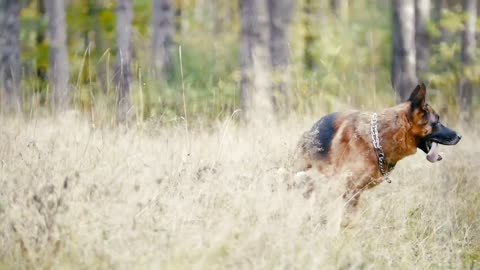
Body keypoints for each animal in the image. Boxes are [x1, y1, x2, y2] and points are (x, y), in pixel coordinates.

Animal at [292, 84, 462, 224]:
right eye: (437, 121)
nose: (459, 136)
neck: (379, 138)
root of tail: (310, 130)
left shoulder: (354, 192)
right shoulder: (347, 188)